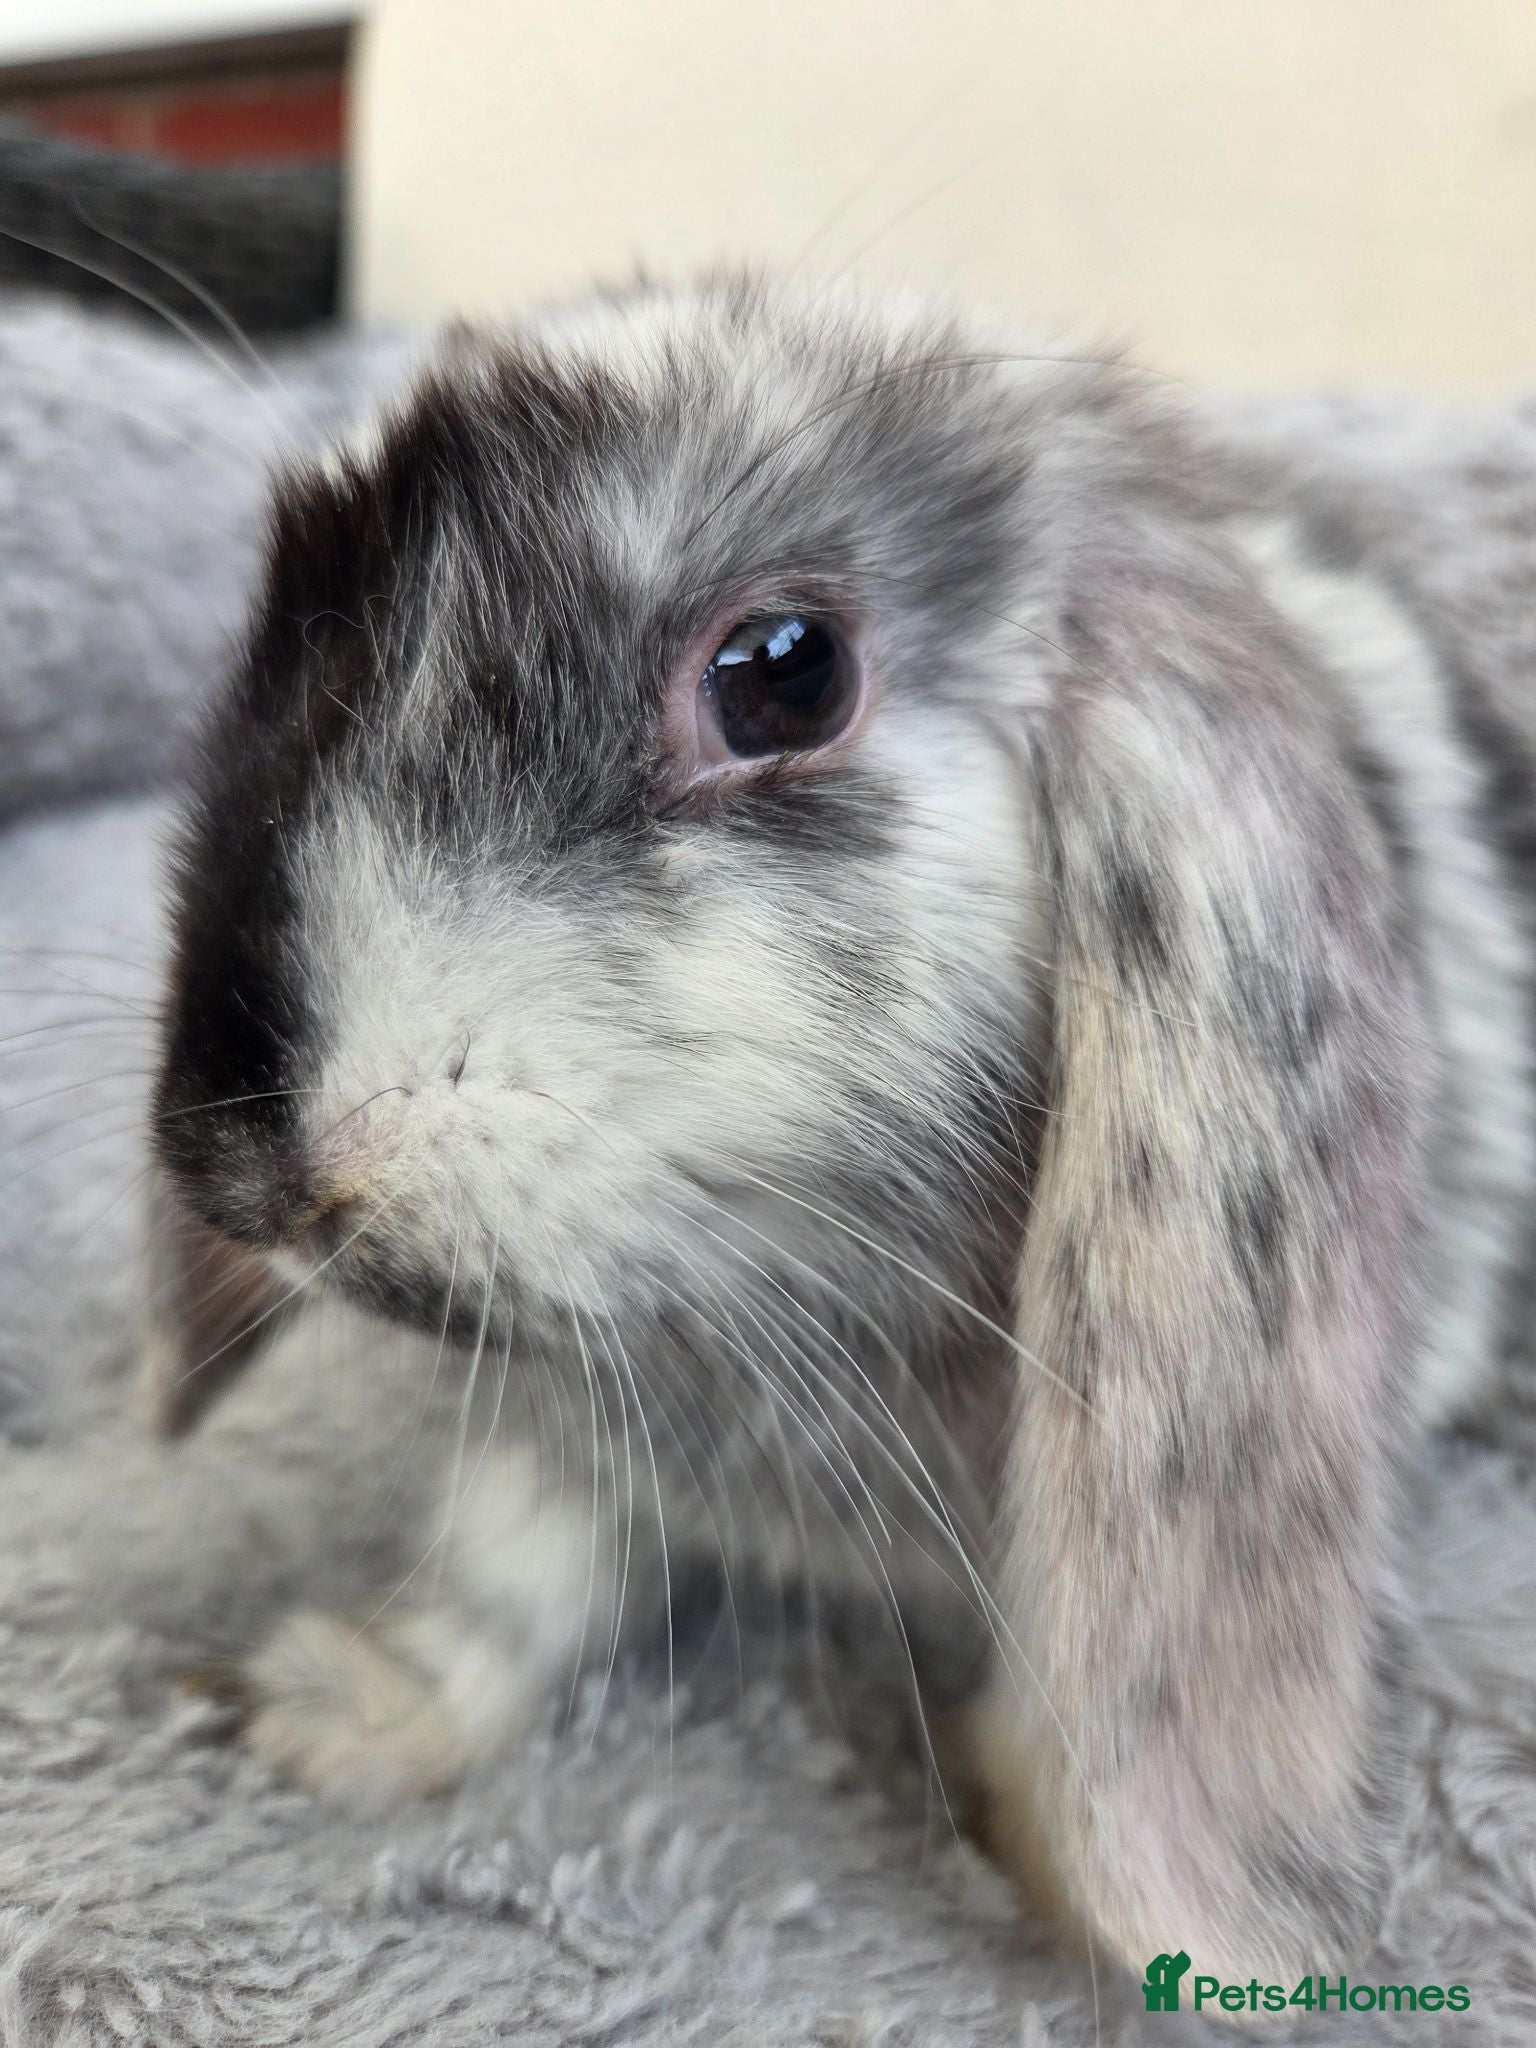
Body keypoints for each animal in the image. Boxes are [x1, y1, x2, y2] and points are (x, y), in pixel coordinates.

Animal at [140, 274, 1536, 1993]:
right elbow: (508, 1581)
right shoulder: (563, 1439)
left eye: (784, 674)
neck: (768, 1308)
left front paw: (1035, 1860)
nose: (248, 1169)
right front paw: (329, 1712)